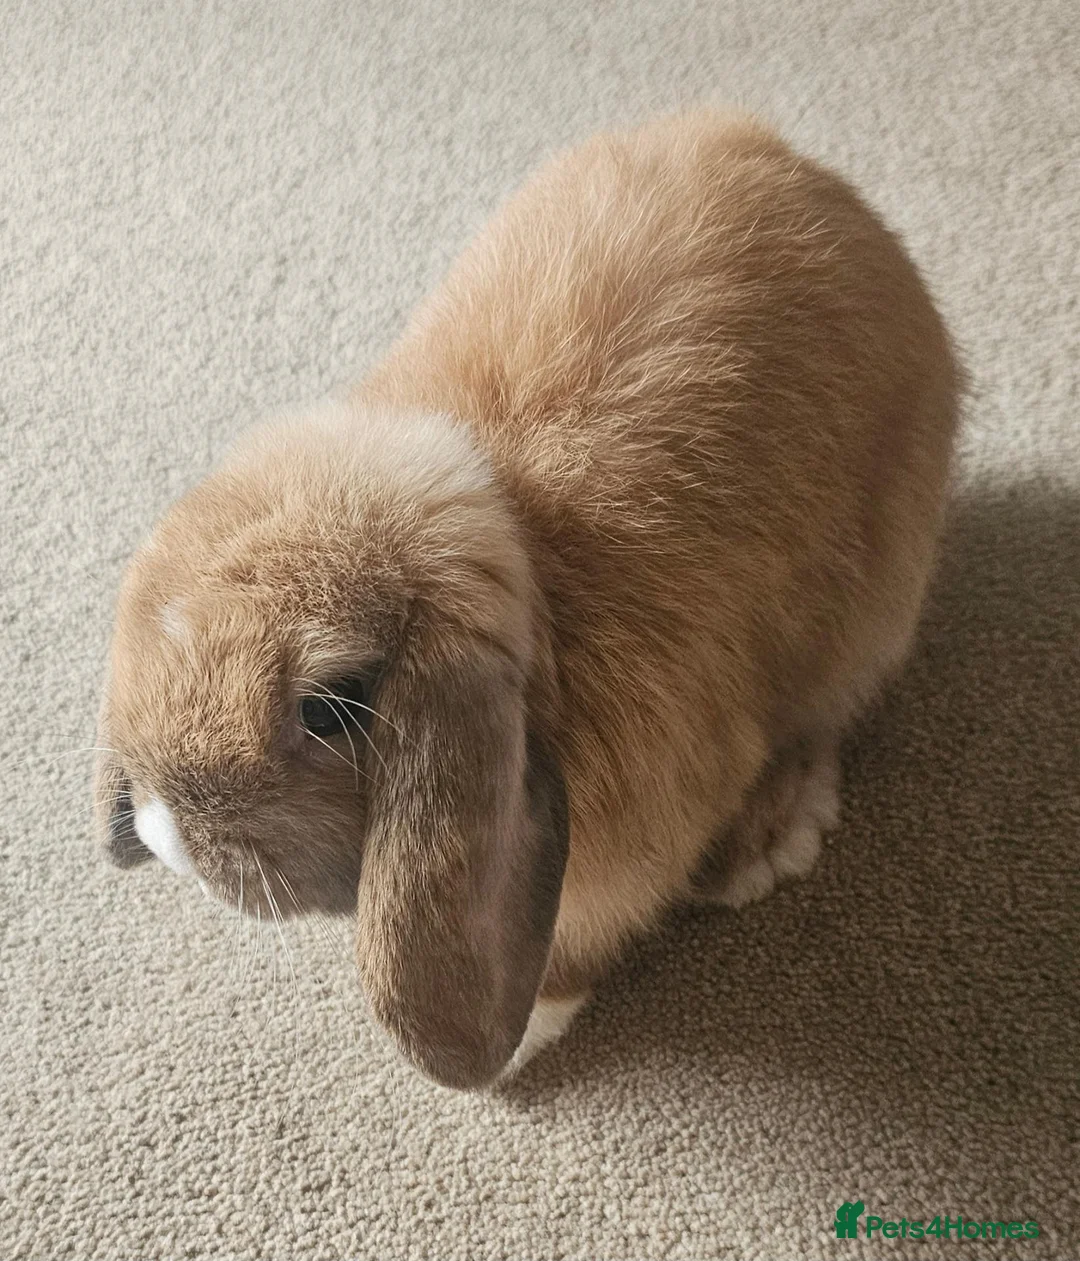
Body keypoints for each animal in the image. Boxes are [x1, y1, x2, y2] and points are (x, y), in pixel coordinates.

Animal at [95, 109, 962, 1090]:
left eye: (329, 708)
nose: (164, 833)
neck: (547, 592)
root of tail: (807, 172)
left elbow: (574, 942)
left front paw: (525, 1041)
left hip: (876, 612)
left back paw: (766, 840)